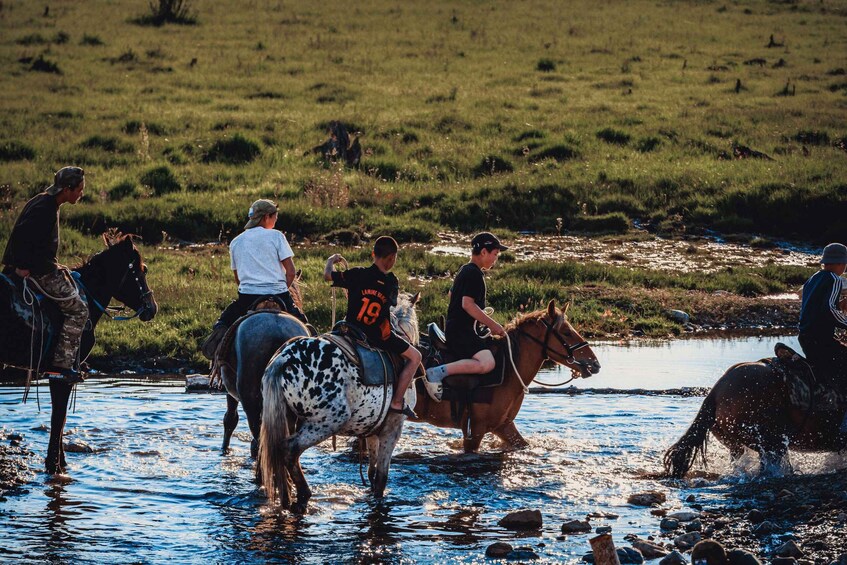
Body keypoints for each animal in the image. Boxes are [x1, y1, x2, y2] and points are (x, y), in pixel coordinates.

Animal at [0, 229, 158, 474]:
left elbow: (61, 420)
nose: (152, 308)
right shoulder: (62, 375)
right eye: (143, 269)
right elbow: (58, 418)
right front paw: (54, 466)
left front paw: (61, 463)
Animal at [216, 280, 310, 457]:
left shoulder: (230, 389)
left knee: (258, 433)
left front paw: (224, 449)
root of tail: (277, 331)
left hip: (250, 397)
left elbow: (230, 419)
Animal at [258, 292, 420, 513]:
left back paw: (287, 497)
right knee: (289, 450)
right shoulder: (392, 429)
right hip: (327, 422)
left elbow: (371, 472)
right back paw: (303, 494)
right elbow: (381, 478)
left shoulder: (372, 430)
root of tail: (283, 360)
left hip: (289, 419)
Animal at [413, 300, 601, 453]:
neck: (509, 369)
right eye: (567, 332)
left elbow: (523, 445)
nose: (595, 363)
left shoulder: (504, 425)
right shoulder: (475, 431)